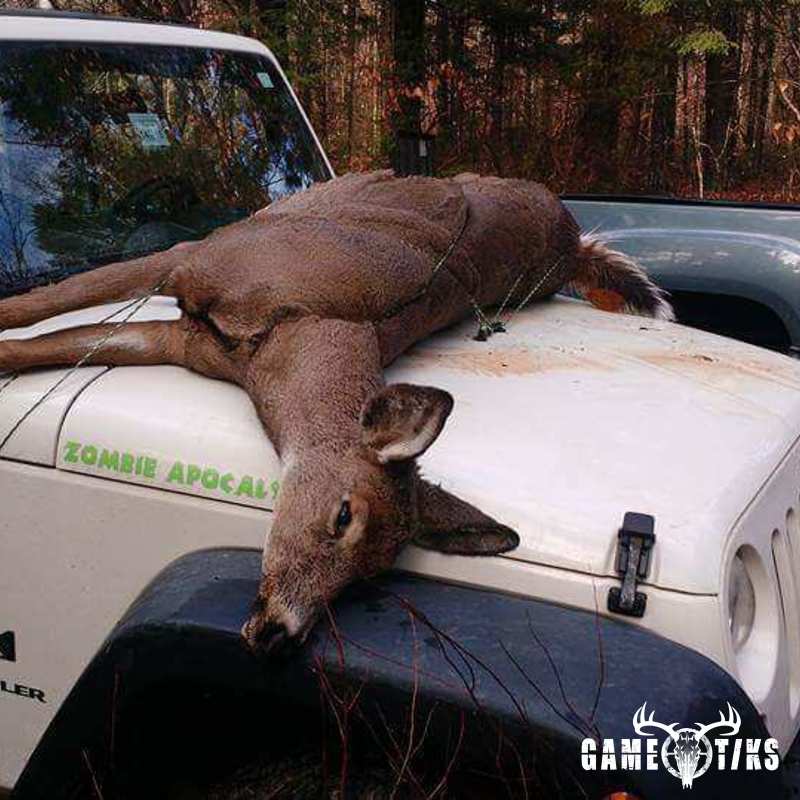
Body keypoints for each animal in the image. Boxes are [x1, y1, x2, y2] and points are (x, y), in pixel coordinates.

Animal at [0, 170, 672, 652]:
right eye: (344, 513)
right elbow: (40, 306)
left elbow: (47, 344)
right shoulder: (189, 257)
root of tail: (573, 235)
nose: (279, 633)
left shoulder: (183, 341)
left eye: (371, 576)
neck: (292, 331)